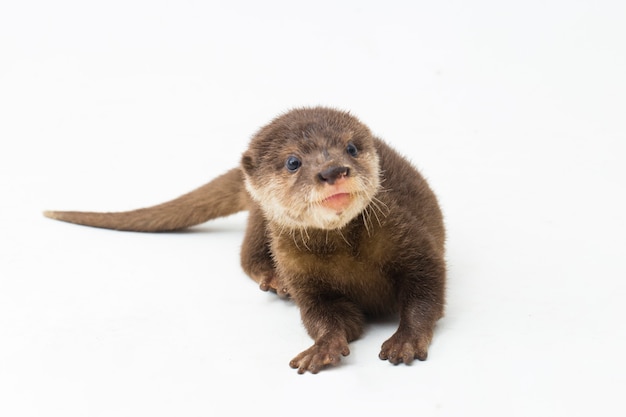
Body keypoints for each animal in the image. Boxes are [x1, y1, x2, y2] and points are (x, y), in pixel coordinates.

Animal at [44, 105, 444, 372]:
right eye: (293, 162)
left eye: (351, 148)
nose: (333, 171)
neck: (349, 258)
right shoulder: (303, 275)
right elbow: (325, 316)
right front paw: (324, 345)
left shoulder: (408, 237)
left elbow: (426, 288)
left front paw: (405, 341)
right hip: (259, 219)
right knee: (246, 256)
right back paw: (273, 281)